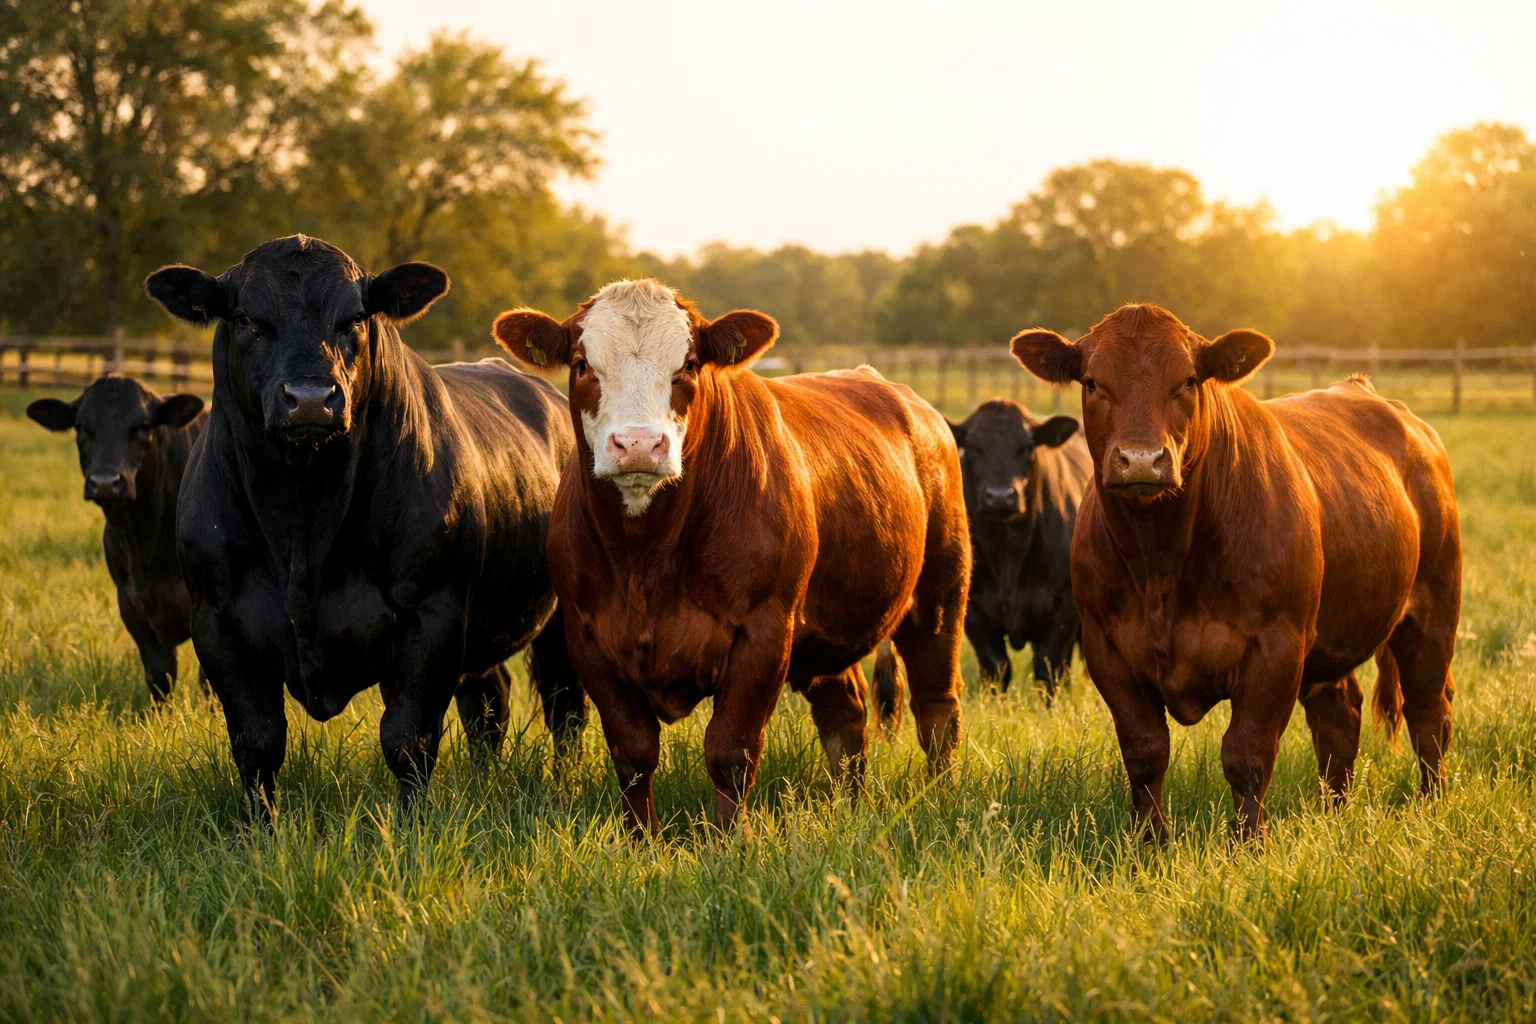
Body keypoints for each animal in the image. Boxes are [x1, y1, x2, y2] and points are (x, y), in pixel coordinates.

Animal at [143, 234, 585, 827]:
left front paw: (413, 827)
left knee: (563, 707)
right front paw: (255, 831)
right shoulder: (218, 621)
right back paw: (483, 778)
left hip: (558, 616)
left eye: (354, 317)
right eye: (246, 319)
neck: (303, 520)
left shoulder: (433, 613)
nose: (310, 397)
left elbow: (407, 739)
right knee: (488, 699)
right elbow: (256, 741)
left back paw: (563, 783)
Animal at [491, 279, 970, 838]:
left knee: (937, 707)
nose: (638, 445)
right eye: (582, 364)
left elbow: (730, 751)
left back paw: (942, 795)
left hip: (939, 593)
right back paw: (850, 805)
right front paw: (642, 841)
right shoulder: (588, 638)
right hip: (828, 629)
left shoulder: (764, 631)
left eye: (690, 363)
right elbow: (632, 754)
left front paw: (726, 842)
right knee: (845, 714)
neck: (647, 559)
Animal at [948, 399, 1091, 702]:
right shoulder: (974, 609)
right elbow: (996, 666)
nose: (1000, 496)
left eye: (1027, 447)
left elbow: (1048, 666)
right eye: (973, 448)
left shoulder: (1065, 605)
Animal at [1012, 303, 1461, 842]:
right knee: (1339, 716)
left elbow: (1246, 754)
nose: (1141, 459)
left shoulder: (1277, 645)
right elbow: (1144, 752)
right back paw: (1335, 811)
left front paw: (1248, 844)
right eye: (1093, 382)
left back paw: (1432, 804)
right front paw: (1150, 843)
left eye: (1188, 381)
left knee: (1429, 712)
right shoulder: (1106, 646)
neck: (1161, 563)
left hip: (1432, 608)